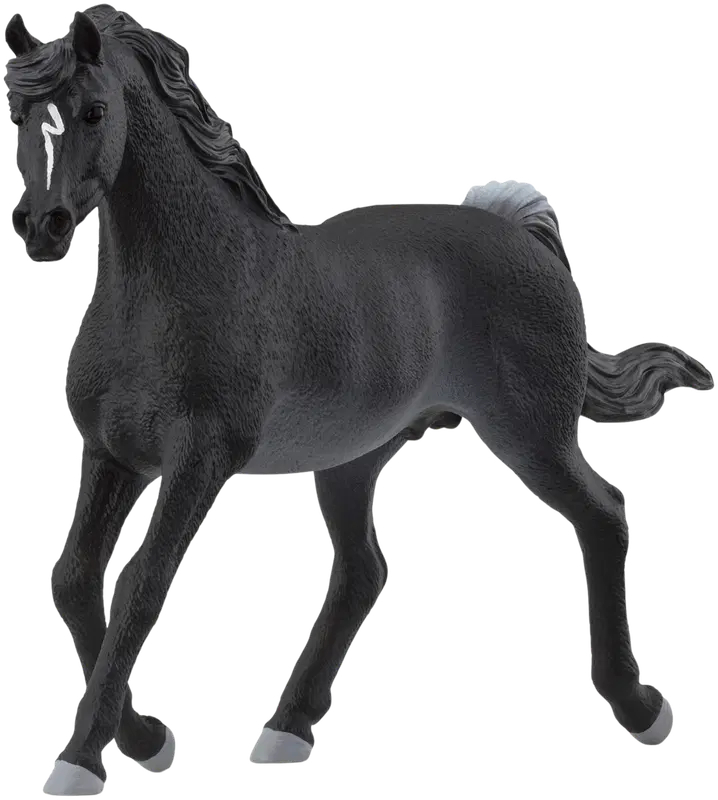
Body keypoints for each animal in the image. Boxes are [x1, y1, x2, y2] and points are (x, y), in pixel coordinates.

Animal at [6, 5, 712, 796]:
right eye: (19, 114)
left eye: (95, 112)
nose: (41, 227)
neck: (170, 290)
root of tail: (523, 235)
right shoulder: (113, 455)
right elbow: (72, 581)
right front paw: (148, 740)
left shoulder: (201, 457)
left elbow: (139, 585)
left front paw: (80, 761)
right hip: (352, 459)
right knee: (363, 573)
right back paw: (285, 731)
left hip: (531, 434)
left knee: (604, 514)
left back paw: (643, 709)